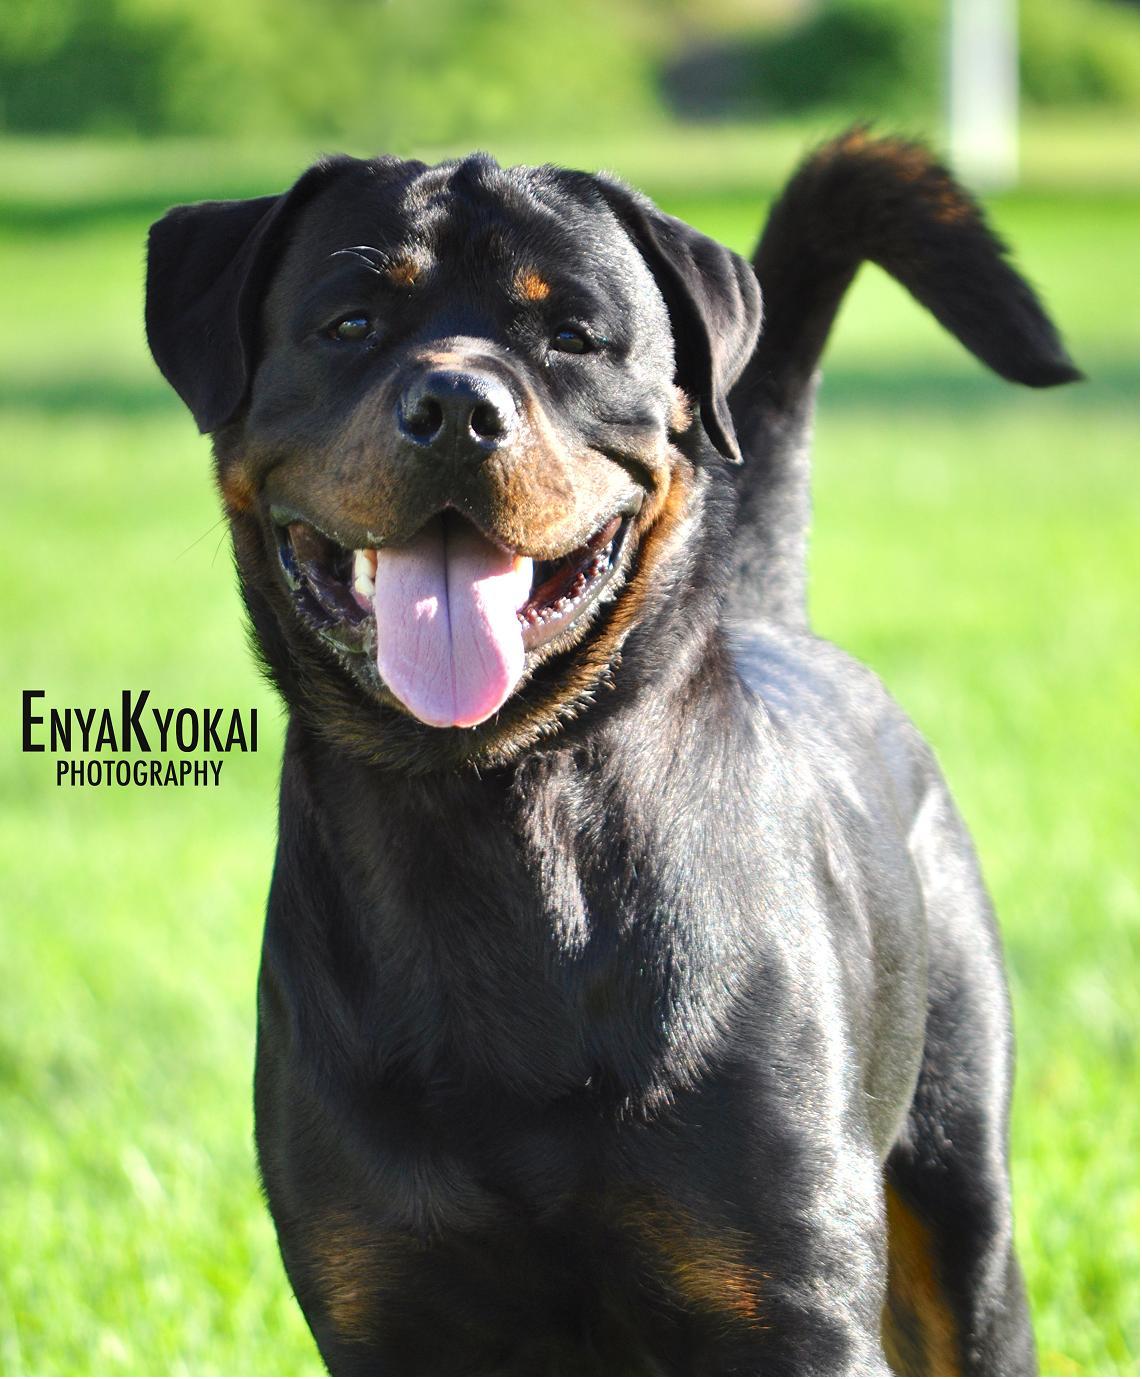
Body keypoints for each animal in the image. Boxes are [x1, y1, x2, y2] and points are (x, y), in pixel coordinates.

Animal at [145, 131, 1077, 1375]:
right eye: (350, 322)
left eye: (573, 336)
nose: (455, 402)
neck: (490, 816)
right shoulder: (385, 1302)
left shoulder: (788, 1302)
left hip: (959, 1195)